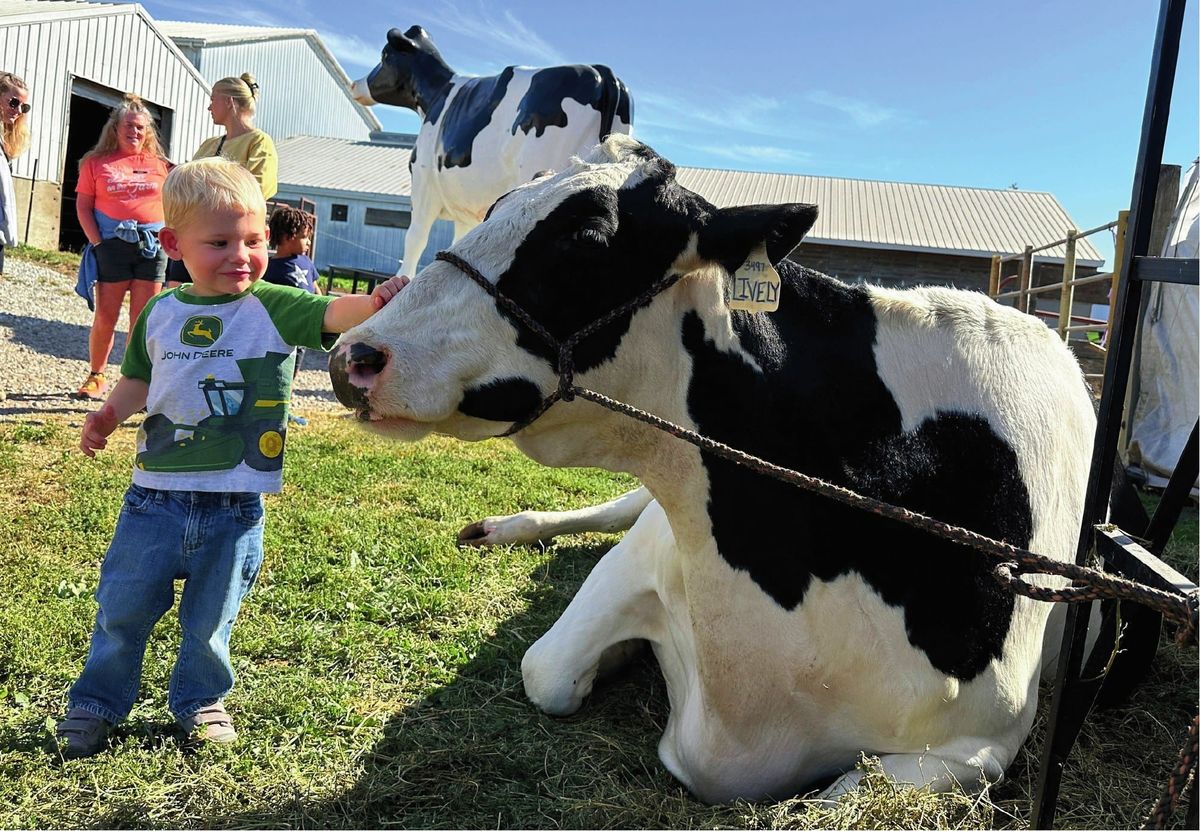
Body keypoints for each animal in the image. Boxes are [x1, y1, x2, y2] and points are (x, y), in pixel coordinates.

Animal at [328, 135, 1096, 803]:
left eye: (587, 238)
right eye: (495, 206)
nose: (353, 356)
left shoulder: (981, 744)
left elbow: (846, 791)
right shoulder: (646, 551)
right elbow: (546, 670)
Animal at [350, 25, 633, 277]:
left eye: (385, 56)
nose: (355, 84)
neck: (438, 95)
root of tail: (601, 71)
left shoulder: (423, 183)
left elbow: (415, 237)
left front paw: (402, 279)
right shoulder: (465, 211)